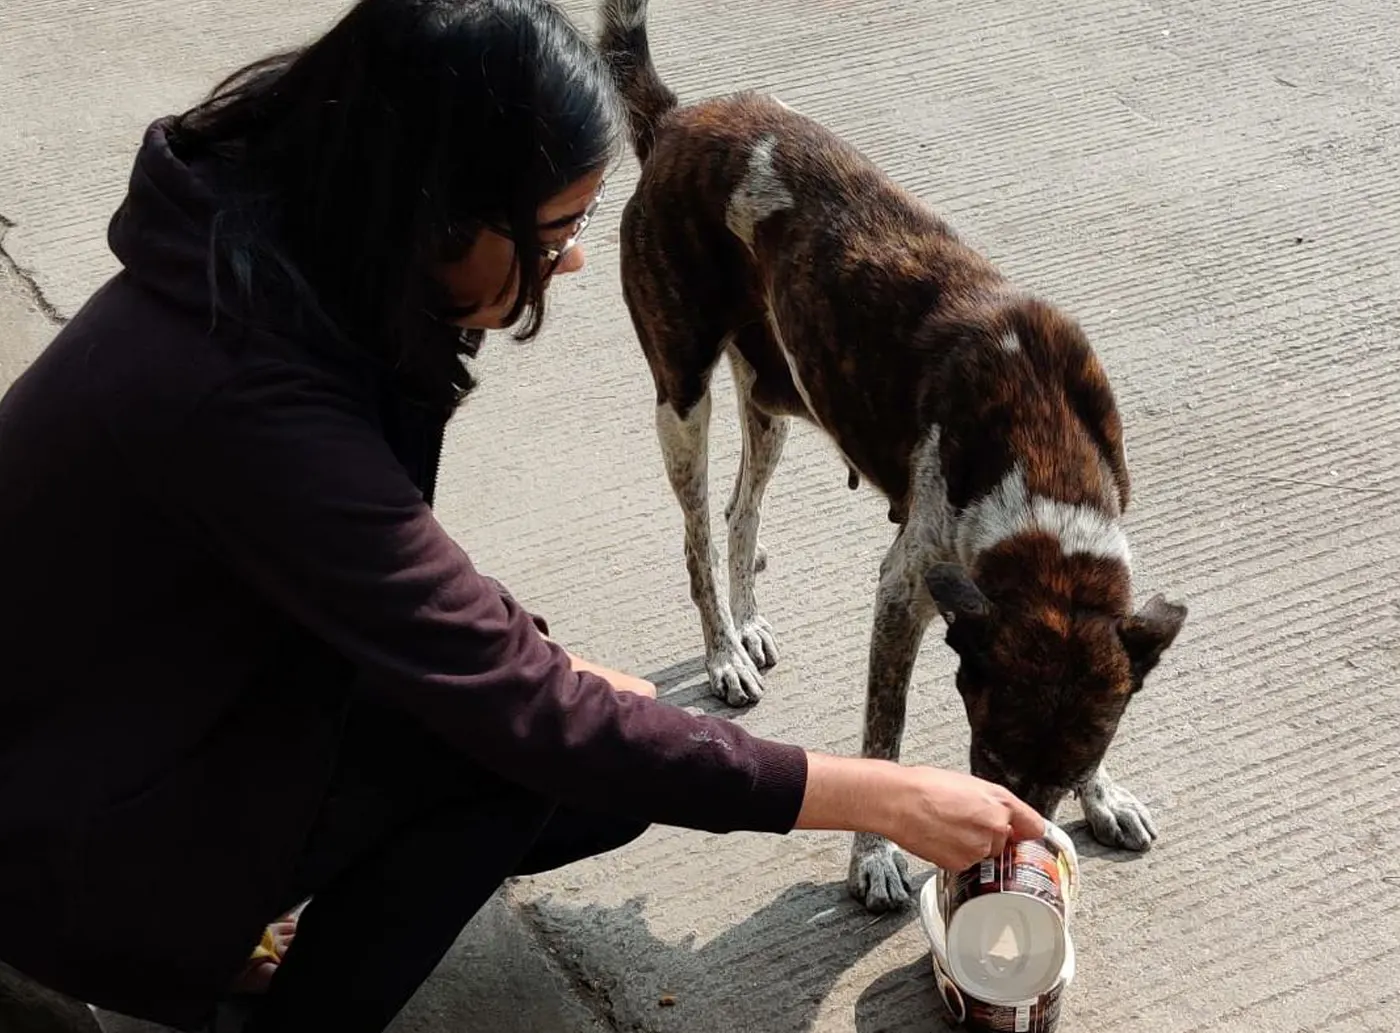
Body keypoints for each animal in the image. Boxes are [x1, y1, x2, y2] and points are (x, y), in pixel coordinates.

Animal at [598, 0, 1188, 911]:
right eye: (990, 754)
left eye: (1071, 767)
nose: (1018, 840)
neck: (1043, 462)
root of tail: (678, 119)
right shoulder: (904, 588)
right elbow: (885, 731)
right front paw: (874, 856)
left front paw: (1107, 796)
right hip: (683, 393)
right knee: (696, 531)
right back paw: (724, 651)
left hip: (774, 392)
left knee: (740, 511)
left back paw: (749, 624)